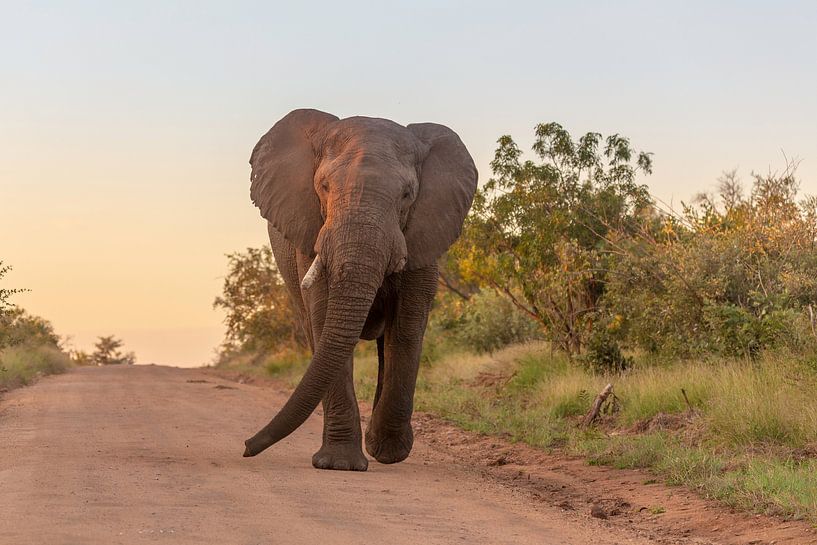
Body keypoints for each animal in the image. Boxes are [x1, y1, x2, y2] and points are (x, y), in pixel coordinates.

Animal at [239, 108, 478, 470]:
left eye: (407, 195)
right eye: (323, 186)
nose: (246, 447)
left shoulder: (424, 232)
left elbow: (406, 327)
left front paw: (388, 452)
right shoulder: (310, 230)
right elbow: (325, 318)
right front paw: (340, 464)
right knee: (315, 333)